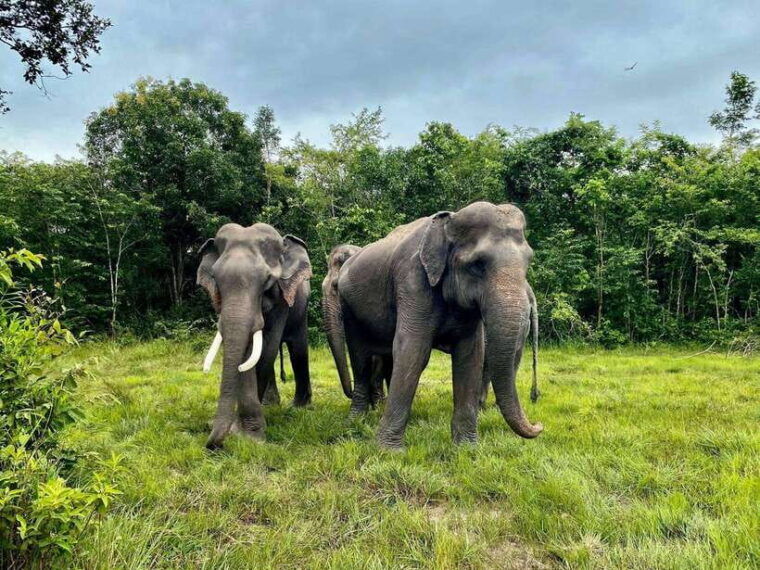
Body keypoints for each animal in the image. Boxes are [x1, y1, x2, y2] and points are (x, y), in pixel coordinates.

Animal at [197, 222, 313, 449]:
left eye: (267, 281)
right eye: (215, 279)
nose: (212, 445)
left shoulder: (281, 299)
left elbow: (266, 348)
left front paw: (249, 436)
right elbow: (247, 349)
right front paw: (243, 432)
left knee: (297, 349)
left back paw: (299, 407)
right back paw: (270, 404)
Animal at [335, 201, 543, 449]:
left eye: (529, 261)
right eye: (477, 265)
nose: (539, 426)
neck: (449, 220)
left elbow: (470, 355)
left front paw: (466, 448)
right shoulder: (412, 280)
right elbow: (413, 351)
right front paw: (389, 451)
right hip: (347, 306)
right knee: (361, 359)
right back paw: (354, 422)